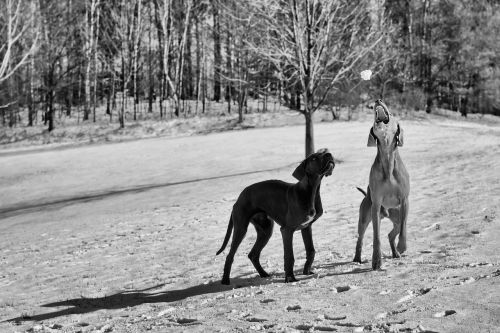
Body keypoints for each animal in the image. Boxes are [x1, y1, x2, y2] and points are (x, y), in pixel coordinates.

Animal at [216, 149, 336, 284]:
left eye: (325, 152)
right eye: (314, 158)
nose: (329, 154)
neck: (311, 192)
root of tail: (239, 198)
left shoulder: (306, 227)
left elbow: (311, 251)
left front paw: (306, 272)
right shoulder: (287, 230)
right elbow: (289, 256)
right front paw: (290, 278)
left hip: (266, 230)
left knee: (253, 254)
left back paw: (263, 274)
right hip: (241, 228)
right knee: (230, 255)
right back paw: (225, 281)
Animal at [352, 99, 410, 270]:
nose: (378, 99)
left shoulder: (405, 201)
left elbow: (404, 230)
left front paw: (402, 247)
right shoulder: (376, 205)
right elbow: (376, 236)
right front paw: (376, 261)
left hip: (396, 215)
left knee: (393, 233)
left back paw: (396, 252)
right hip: (365, 216)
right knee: (360, 238)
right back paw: (357, 258)